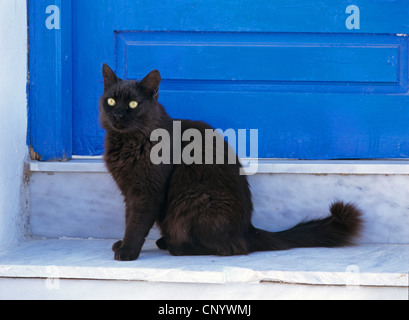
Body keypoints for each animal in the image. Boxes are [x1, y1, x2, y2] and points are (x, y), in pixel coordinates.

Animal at [100, 63, 362, 262]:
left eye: (133, 104)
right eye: (111, 101)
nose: (118, 115)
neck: (127, 142)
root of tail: (247, 230)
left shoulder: (146, 192)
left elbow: (137, 223)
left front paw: (128, 251)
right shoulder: (130, 192)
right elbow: (129, 218)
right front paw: (122, 244)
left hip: (194, 201)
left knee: (229, 248)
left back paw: (175, 246)